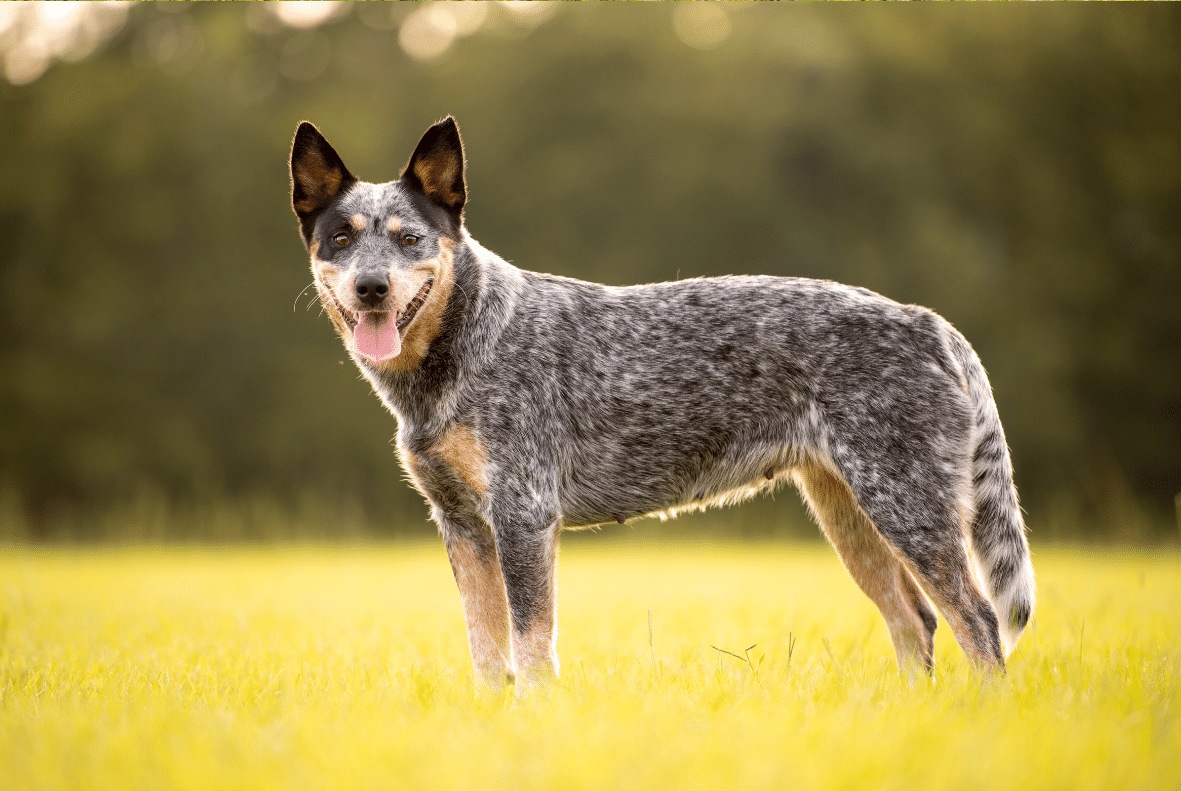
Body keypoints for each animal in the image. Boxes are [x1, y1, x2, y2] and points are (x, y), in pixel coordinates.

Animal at [288, 118, 1034, 694]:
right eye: (341, 238)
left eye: (409, 238)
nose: (371, 287)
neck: (468, 344)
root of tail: (928, 322)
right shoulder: (461, 524)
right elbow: (485, 648)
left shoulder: (523, 515)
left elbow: (530, 642)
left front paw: (534, 719)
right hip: (849, 515)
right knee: (916, 621)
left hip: (906, 507)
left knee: (976, 620)